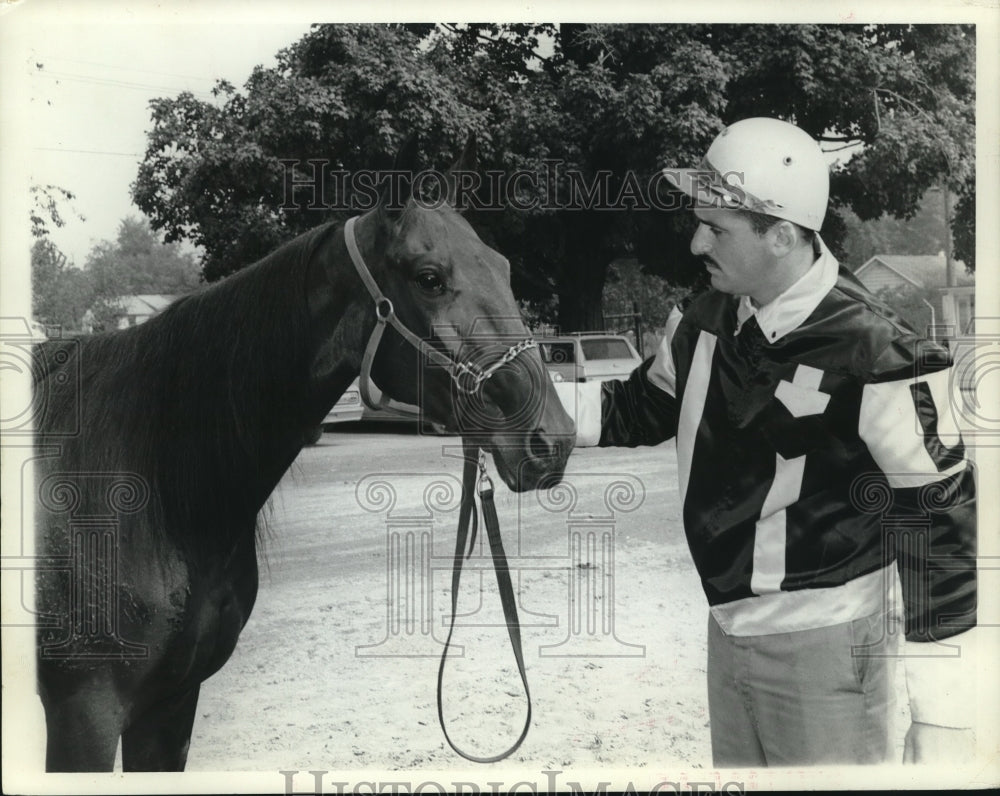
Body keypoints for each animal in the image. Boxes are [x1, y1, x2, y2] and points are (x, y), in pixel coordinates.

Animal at [31, 135, 576, 772]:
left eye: (505, 268)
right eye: (430, 277)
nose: (554, 438)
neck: (146, 482)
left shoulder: (170, 706)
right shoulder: (84, 711)